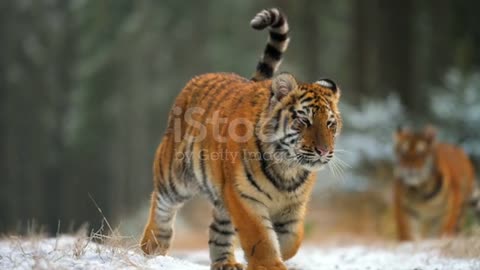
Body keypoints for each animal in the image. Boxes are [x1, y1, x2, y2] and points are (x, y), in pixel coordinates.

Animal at [139, 7, 342, 270]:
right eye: (304, 121)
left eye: (330, 124)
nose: (324, 151)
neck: (288, 168)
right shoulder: (245, 197)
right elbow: (261, 238)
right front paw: (269, 263)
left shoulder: (293, 205)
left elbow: (292, 239)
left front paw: (274, 253)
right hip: (175, 174)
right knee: (161, 204)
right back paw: (153, 246)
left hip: (220, 193)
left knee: (219, 228)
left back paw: (226, 262)